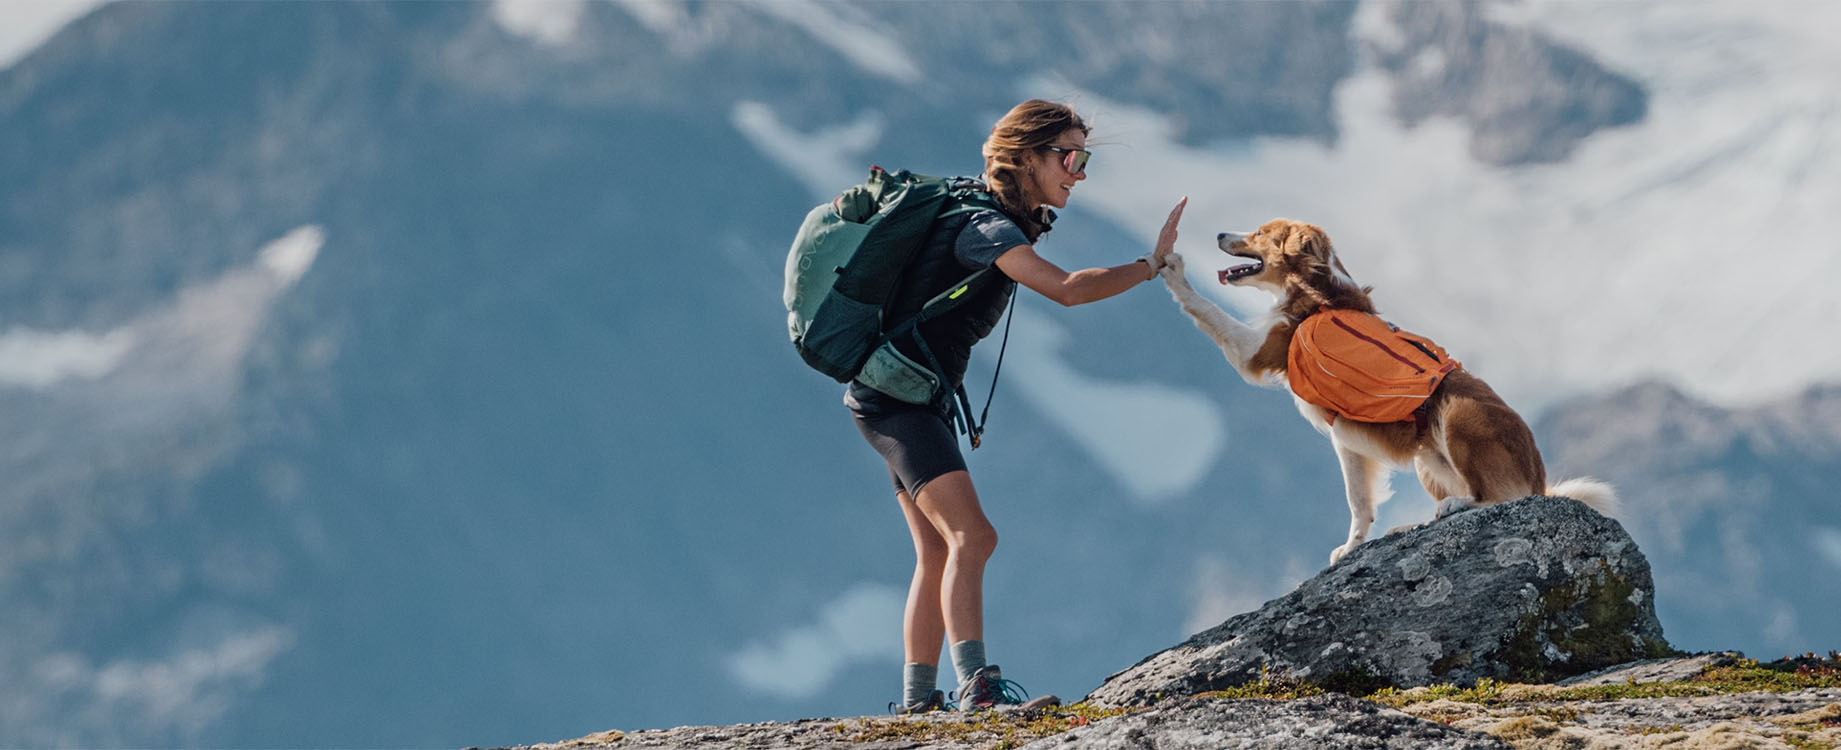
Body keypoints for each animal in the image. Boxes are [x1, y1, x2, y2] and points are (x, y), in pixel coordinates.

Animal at [1156, 220, 1620, 567]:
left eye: (1260, 232)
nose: (1219, 234)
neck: (1317, 291)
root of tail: (1540, 482)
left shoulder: (1256, 349)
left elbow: (1206, 309)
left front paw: (1172, 269)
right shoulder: (1346, 438)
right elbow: (1359, 501)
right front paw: (1352, 548)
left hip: (1459, 416)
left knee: (1499, 498)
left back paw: (1453, 508)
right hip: (1426, 459)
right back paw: (1412, 526)